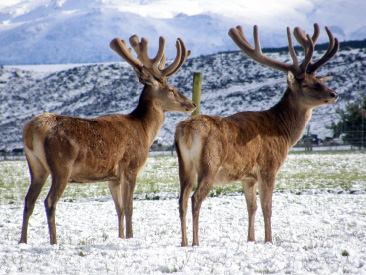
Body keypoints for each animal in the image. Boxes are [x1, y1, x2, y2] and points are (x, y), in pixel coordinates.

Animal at [19, 35, 197, 246]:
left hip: (37, 166)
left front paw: (121, 237)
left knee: (28, 200)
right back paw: (54, 242)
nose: (192, 104)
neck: (144, 131)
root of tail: (32, 129)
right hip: (61, 165)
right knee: (49, 201)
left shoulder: (113, 177)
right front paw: (130, 237)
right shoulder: (131, 167)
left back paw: (22, 241)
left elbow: (118, 209)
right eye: (170, 89)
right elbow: (129, 207)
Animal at [176, 23, 338, 247]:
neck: (284, 132)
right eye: (305, 84)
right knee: (195, 198)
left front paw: (251, 239)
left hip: (184, 166)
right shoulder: (268, 167)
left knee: (182, 199)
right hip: (209, 164)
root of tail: (186, 130)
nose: (334, 94)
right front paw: (269, 240)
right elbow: (266, 207)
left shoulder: (248, 176)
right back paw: (195, 242)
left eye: (318, 79)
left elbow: (251, 207)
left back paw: (183, 242)